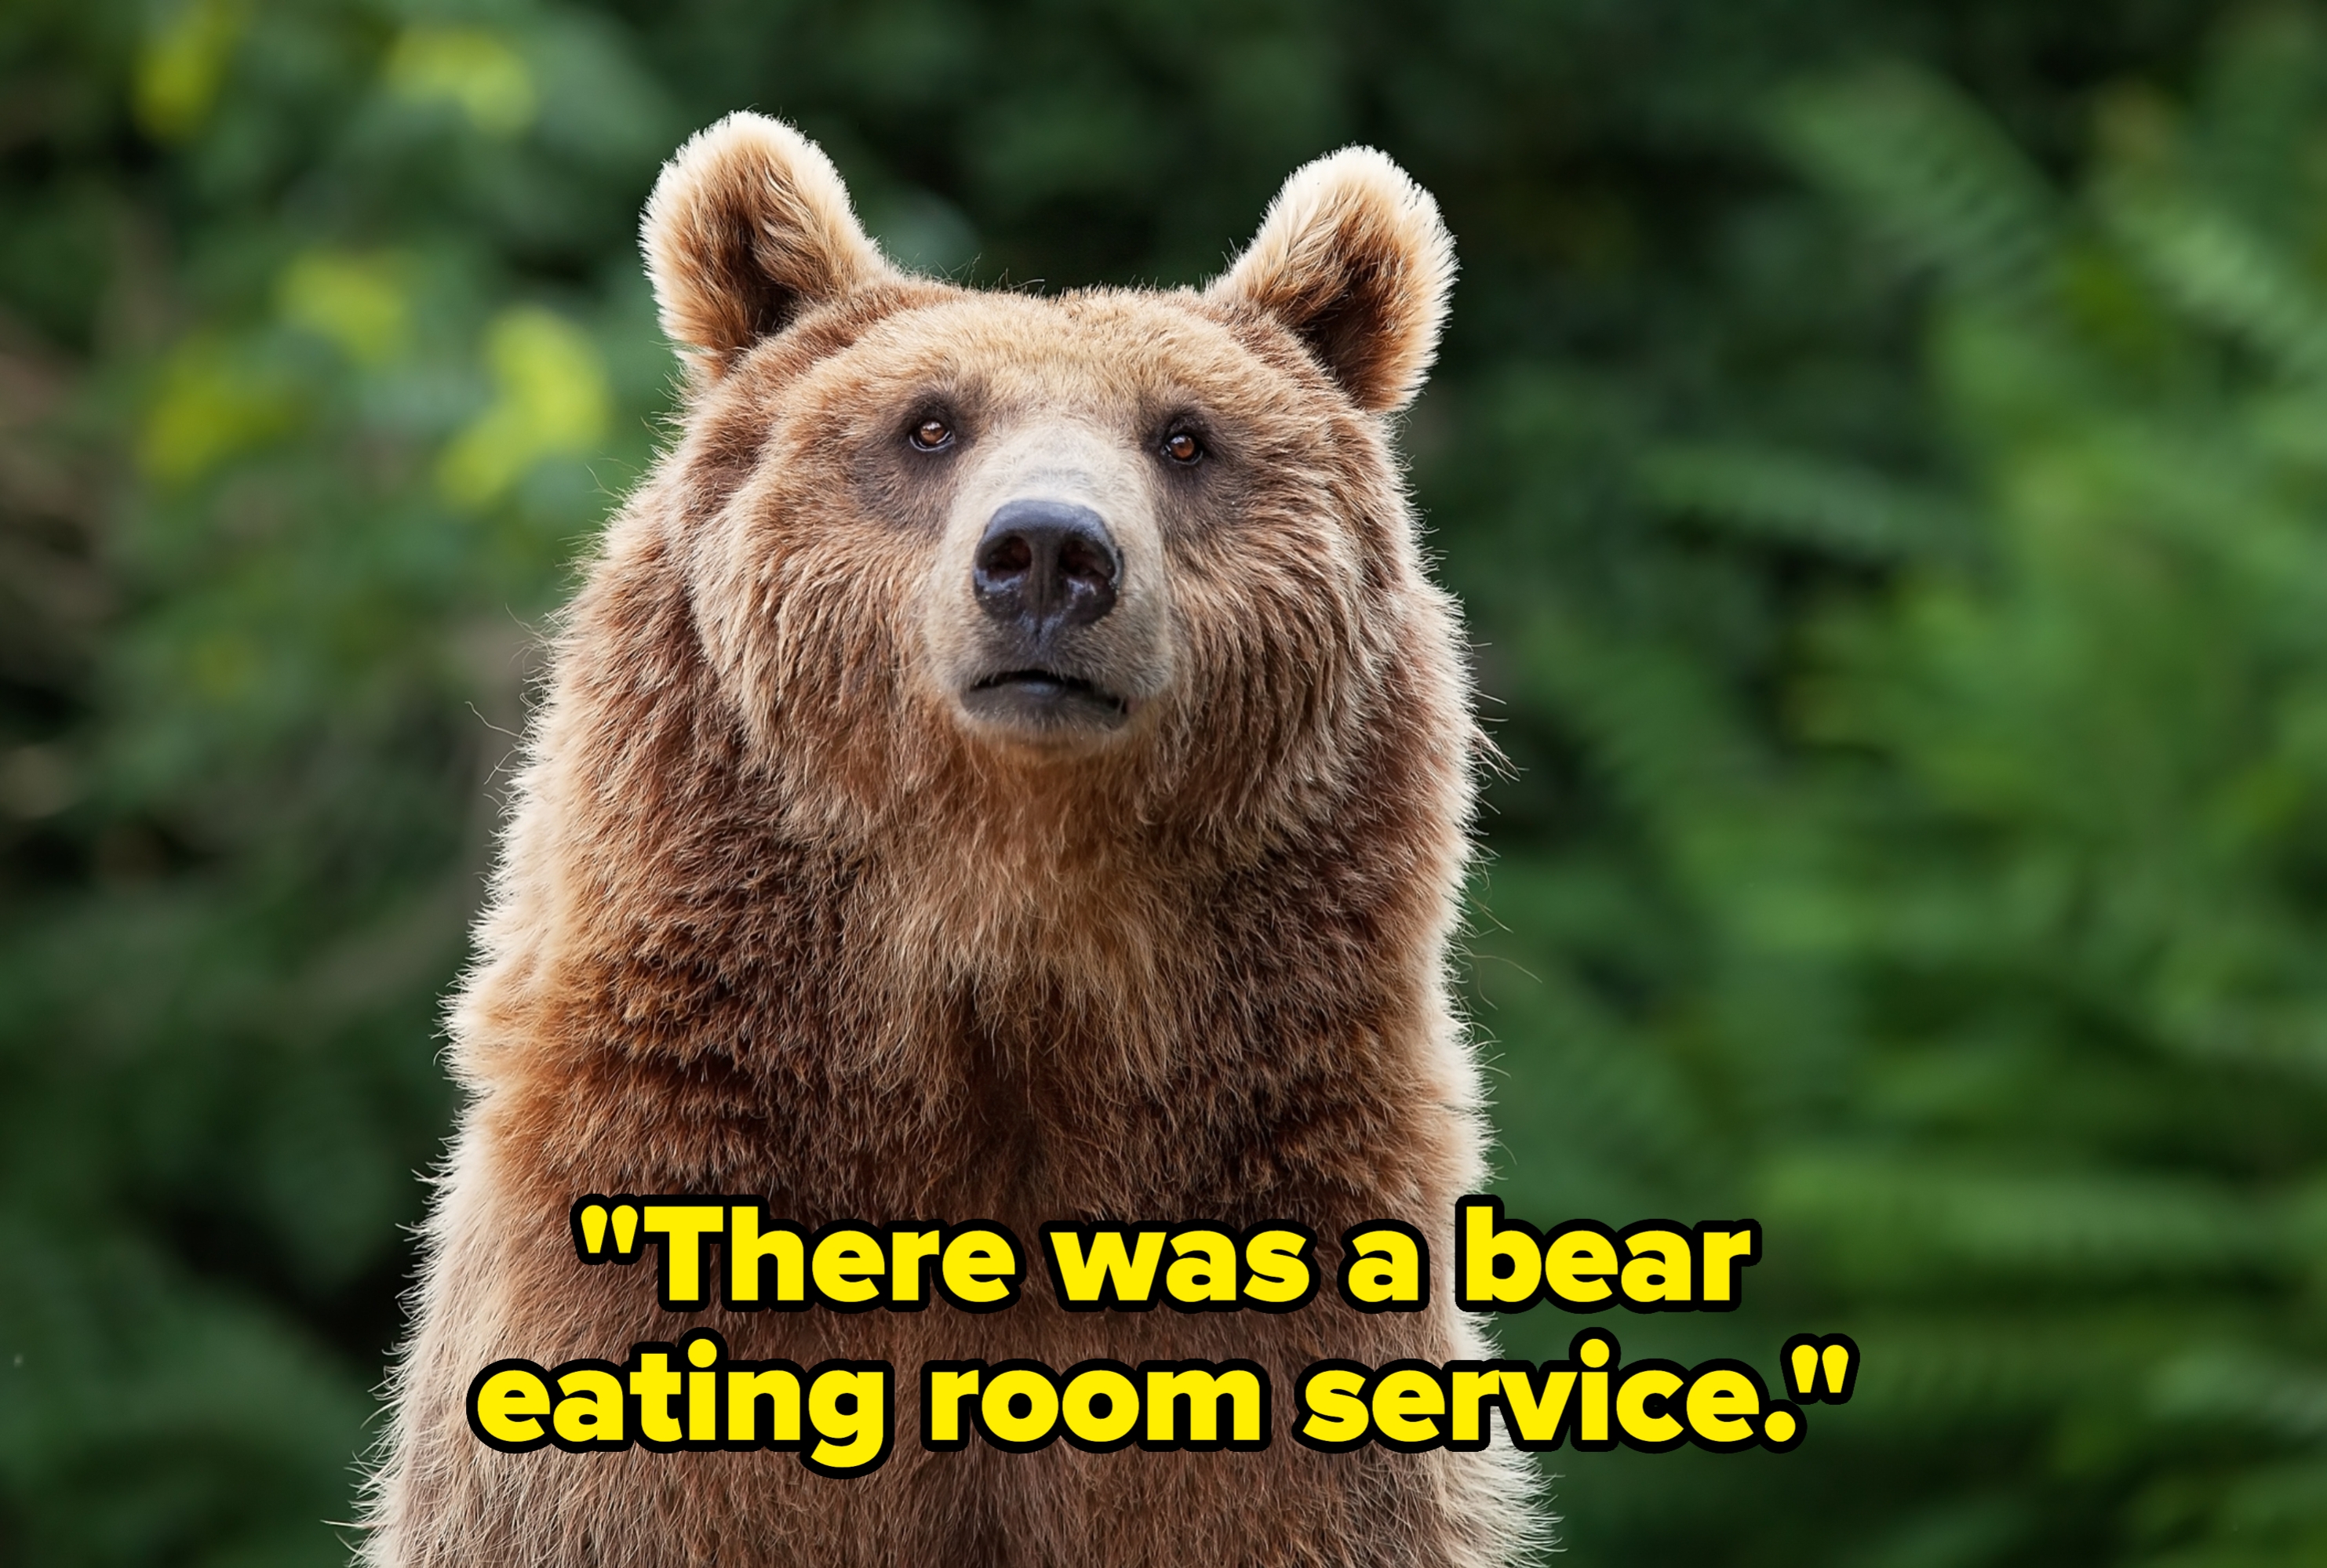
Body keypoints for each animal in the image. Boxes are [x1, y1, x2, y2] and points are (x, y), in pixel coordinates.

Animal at [361, 112, 1536, 1568]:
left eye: (1185, 437)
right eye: (929, 423)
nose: (1047, 553)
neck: (1004, 941)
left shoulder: (1276, 1263)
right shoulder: (655, 1248)